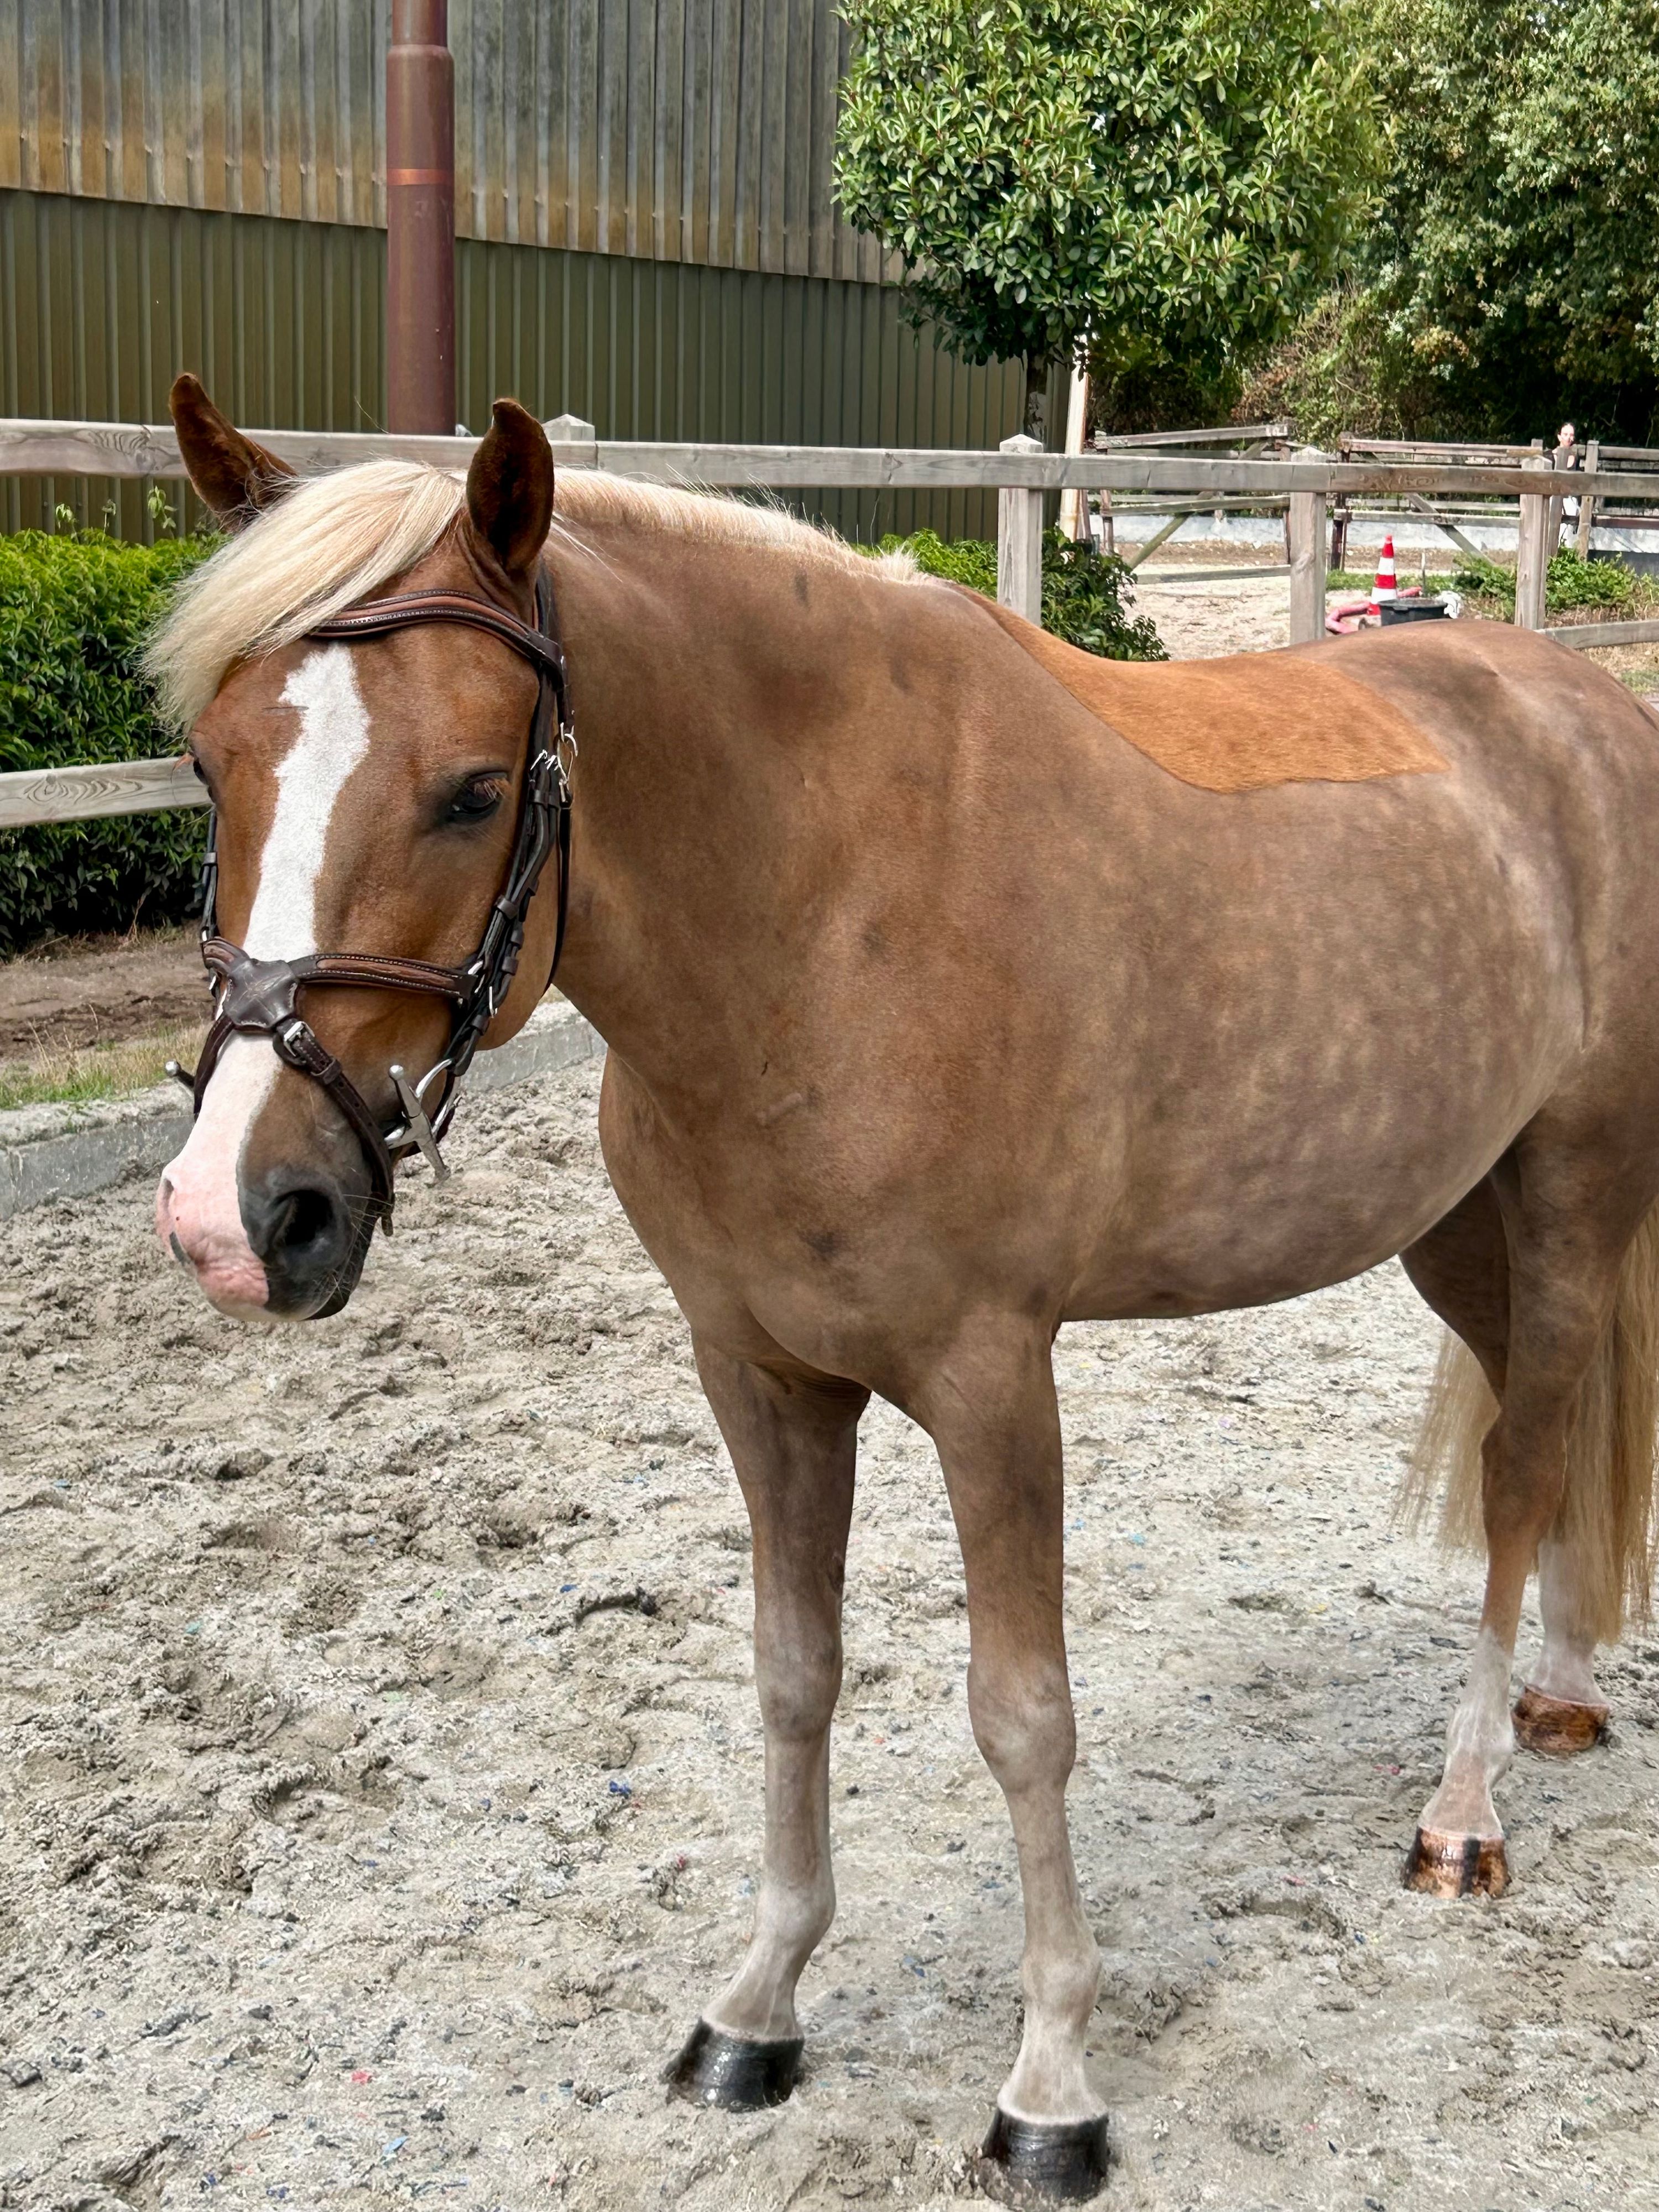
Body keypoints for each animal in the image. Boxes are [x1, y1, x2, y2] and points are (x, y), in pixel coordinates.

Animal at [150, 377, 1659, 2201]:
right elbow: (792, 1671)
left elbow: (1022, 1715)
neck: (829, 911)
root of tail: (1586, 707)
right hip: (1451, 1220)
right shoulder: (759, 1373)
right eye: (212, 762)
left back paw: (1464, 1808)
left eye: (467, 789)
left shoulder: (990, 1379)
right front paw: (757, 2007)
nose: (241, 1215)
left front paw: (1052, 2083)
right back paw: (1562, 1695)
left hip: (1572, 1195)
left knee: (1523, 1468)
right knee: (1551, 1432)